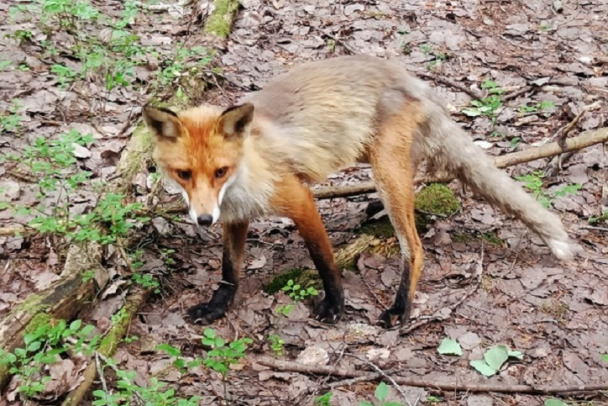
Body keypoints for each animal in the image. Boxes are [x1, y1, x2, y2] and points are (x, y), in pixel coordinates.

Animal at [142, 54, 576, 326]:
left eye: (220, 171)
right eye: (184, 174)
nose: (203, 219)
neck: (246, 169)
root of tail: (411, 78)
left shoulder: (299, 198)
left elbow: (324, 260)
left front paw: (336, 304)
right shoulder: (235, 217)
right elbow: (229, 271)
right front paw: (217, 308)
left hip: (386, 170)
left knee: (415, 248)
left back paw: (401, 308)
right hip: (379, 160)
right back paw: (374, 211)